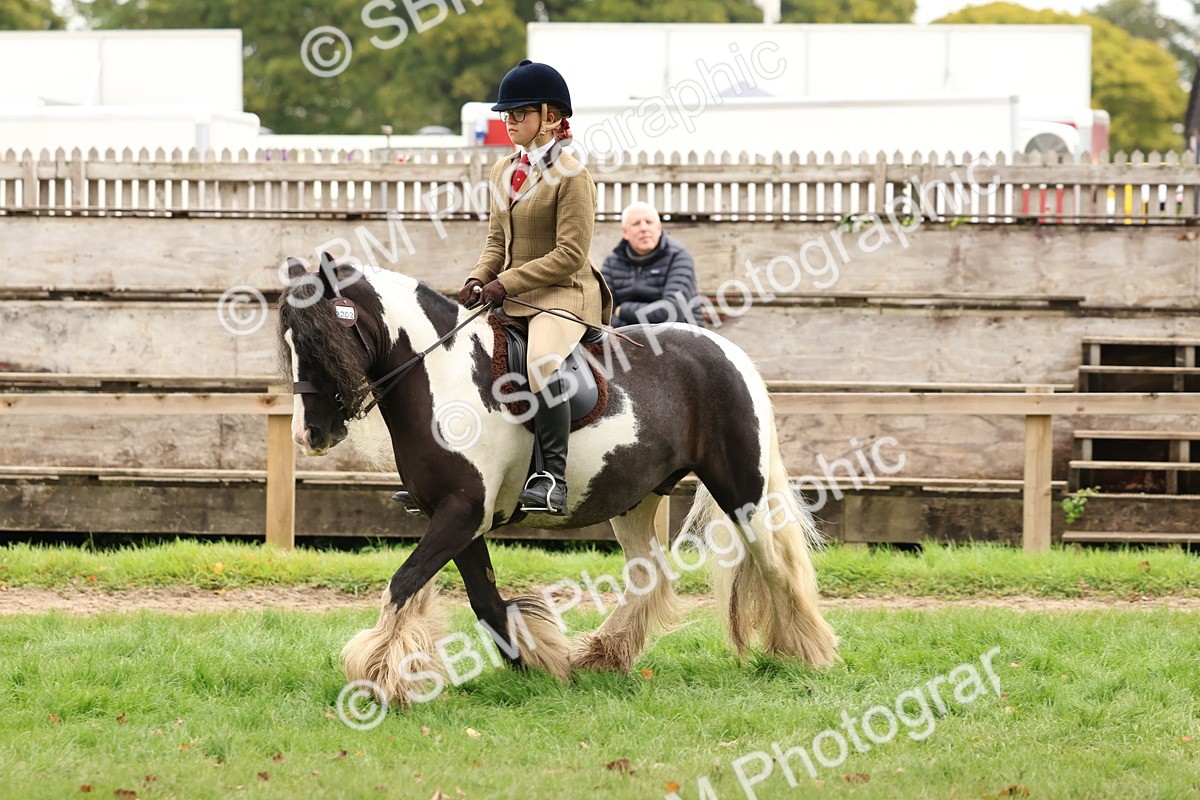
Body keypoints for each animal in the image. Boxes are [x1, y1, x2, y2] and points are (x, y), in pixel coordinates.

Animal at [278, 258, 838, 706]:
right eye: (290, 344)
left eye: (321, 338)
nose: (309, 434)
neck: (442, 375)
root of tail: (728, 351)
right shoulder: (459, 517)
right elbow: (483, 600)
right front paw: (538, 662)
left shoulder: (461, 513)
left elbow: (404, 582)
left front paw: (380, 678)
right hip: (633, 498)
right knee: (648, 574)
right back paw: (602, 655)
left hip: (741, 491)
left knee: (776, 565)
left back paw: (808, 651)